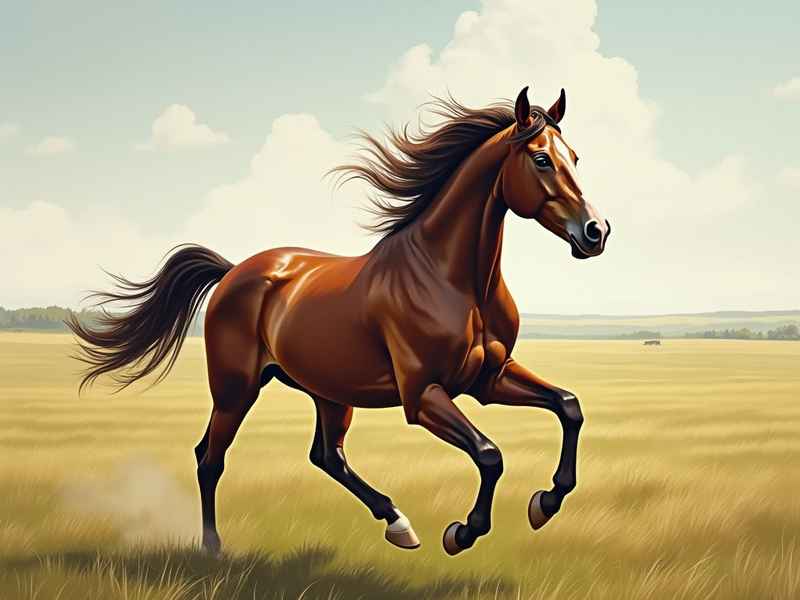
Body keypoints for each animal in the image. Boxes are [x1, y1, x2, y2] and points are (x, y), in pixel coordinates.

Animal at [68, 85, 610, 556]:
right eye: (541, 159)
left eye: (575, 157)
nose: (596, 232)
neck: (454, 281)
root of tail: (234, 271)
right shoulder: (423, 396)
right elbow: (489, 454)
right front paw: (463, 532)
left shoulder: (488, 378)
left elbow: (568, 406)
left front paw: (546, 502)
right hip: (236, 389)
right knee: (210, 459)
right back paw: (212, 547)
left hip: (328, 390)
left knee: (327, 456)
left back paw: (398, 524)